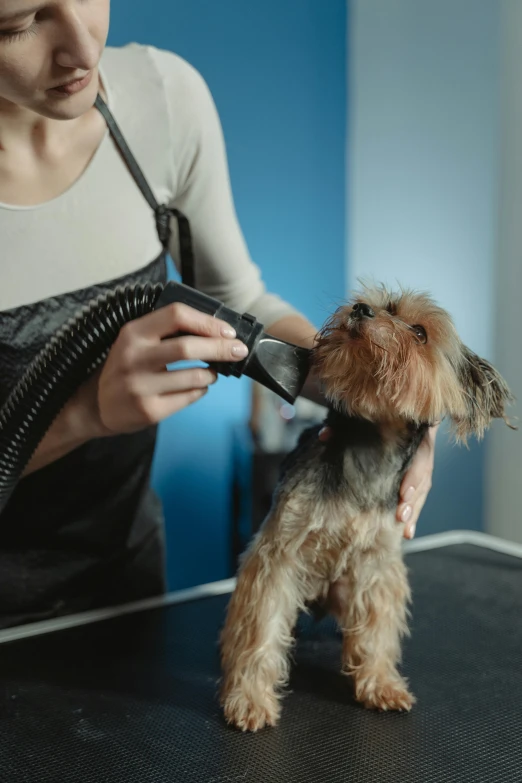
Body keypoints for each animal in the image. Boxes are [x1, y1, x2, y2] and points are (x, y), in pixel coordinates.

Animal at [217, 284, 512, 736]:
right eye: (384, 306)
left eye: (420, 332)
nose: (361, 309)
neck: (371, 447)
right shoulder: (279, 553)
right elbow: (260, 627)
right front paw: (249, 698)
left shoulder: (377, 563)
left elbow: (375, 627)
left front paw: (379, 684)